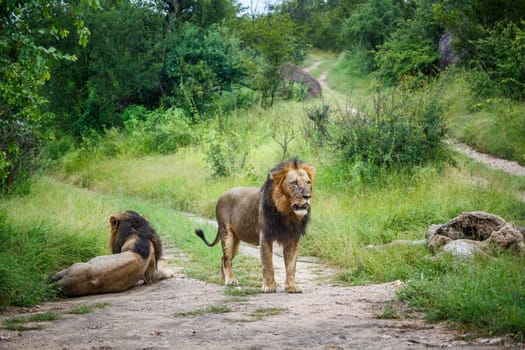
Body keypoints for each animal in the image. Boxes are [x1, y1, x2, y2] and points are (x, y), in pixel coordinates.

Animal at [194, 159, 314, 292]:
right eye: (294, 183)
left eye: (308, 182)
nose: (308, 196)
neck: (287, 213)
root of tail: (222, 195)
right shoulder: (265, 236)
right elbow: (268, 263)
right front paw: (269, 286)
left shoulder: (292, 239)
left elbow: (291, 266)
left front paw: (291, 286)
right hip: (227, 235)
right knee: (226, 259)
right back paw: (230, 280)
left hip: (236, 242)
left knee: (223, 258)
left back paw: (223, 280)